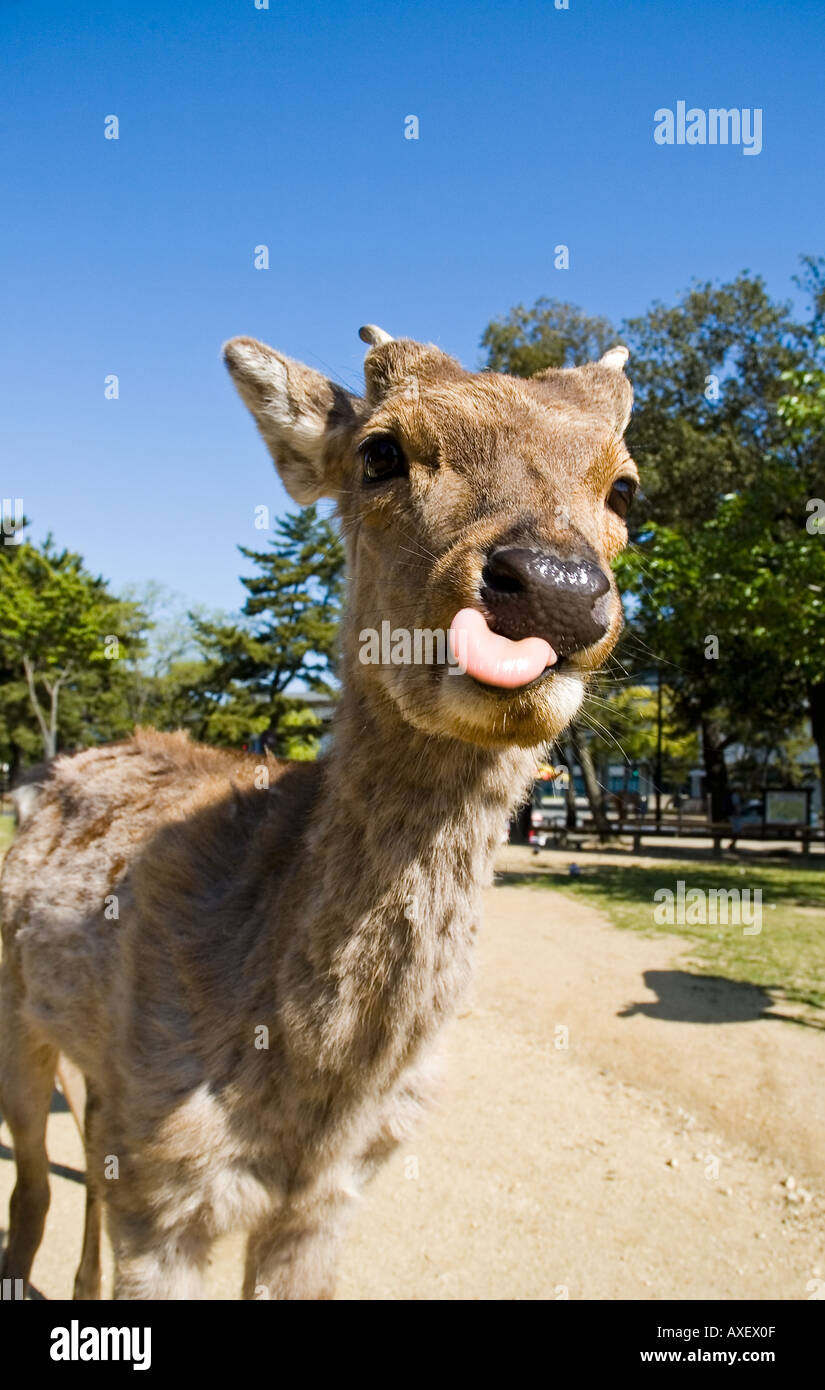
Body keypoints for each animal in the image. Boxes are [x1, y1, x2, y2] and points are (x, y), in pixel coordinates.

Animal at [0, 319, 636, 1295]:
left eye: (625, 487)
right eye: (380, 452)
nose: (554, 587)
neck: (317, 1098)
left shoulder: (332, 1197)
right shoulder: (166, 1191)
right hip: (13, 1017)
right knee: (32, 1181)